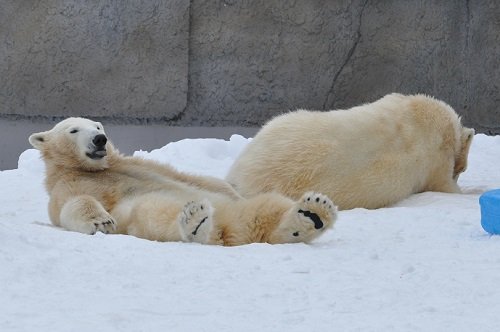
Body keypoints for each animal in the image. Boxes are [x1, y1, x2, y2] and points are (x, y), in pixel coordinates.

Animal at [30, 116, 336, 244]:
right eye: (73, 130)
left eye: (97, 125)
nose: (99, 139)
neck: (95, 169)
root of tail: (232, 227)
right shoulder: (69, 184)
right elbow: (72, 204)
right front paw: (101, 221)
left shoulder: (139, 164)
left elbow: (202, 179)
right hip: (150, 209)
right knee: (154, 211)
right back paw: (197, 223)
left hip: (250, 208)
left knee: (267, 207)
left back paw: (312, 213)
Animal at [225, 92, 474, 210]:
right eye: (461, 170)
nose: (461, 169)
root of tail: (238, 176)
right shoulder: (436, 156)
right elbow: (443, 184)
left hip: (279, 125)